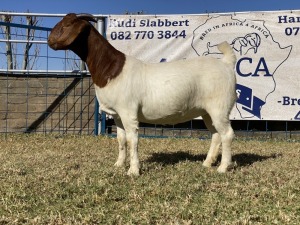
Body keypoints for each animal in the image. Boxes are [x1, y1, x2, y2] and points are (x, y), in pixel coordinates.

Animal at [48, 13, 237, 176]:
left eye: (66, 25)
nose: (49, 40)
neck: (111, 69)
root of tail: (226, 63)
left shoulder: (128, 110)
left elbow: (132, 140)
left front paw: (133, 171)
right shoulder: (117, 115)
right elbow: (121, 140)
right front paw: (119, 164)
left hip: (219, 106)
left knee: (227, 134)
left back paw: (223, 167)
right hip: (207, 111)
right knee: (216, 135)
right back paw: (207, 163)